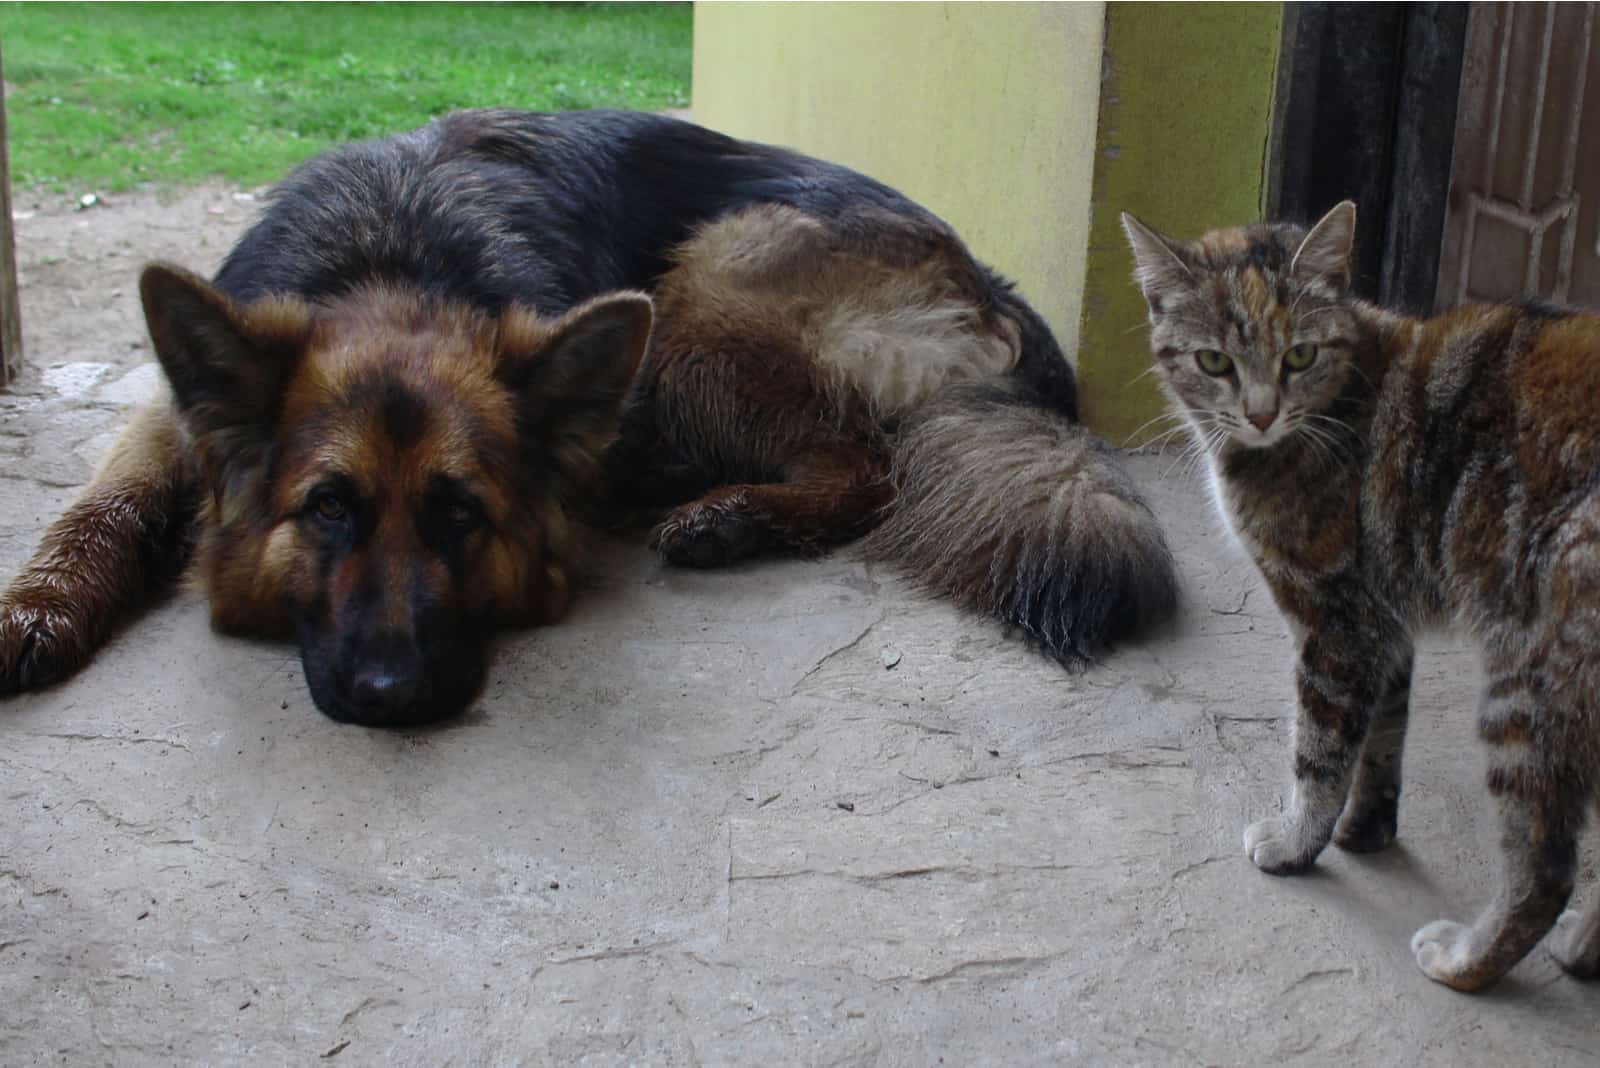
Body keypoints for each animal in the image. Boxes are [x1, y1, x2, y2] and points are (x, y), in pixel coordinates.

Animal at [0, 110, 1177, 725]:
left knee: (868, 466)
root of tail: (984, 280)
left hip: (703, 285)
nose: (393, 693)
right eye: (326, 511)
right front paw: (34, 610)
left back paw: (728, 516)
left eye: (463, 516)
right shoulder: (171, 421)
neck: (393, 257)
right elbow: (100, 510)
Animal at [1126, 202, 1600, 991]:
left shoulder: (1336, 621)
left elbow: (1320, 751)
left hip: (1528, 683)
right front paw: (1366, 829)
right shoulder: (1384, 620)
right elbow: (1382, 737)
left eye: (1299, 356)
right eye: (1215, 362)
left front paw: (1297, 842)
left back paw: (1467, 962)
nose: (1261, 413)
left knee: (1545, 867)